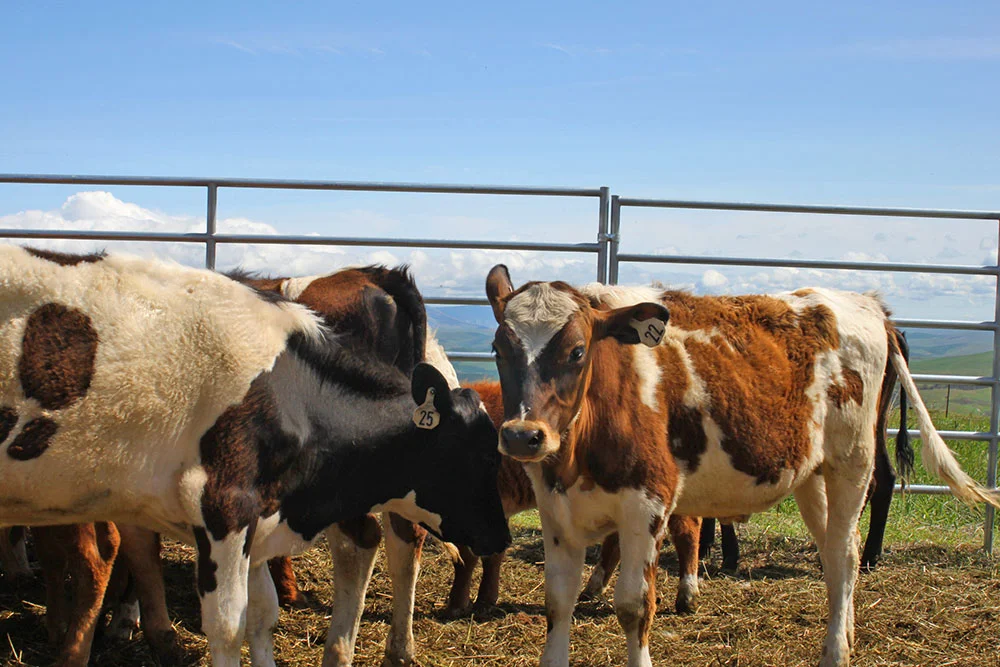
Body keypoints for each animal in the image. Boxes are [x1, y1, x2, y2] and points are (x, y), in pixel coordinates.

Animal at [0, 246, 510, 667]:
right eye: (485, 458)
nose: (501, 537)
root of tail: (377, 273)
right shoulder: (237, 513)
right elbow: (249, 618)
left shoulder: (223, 507)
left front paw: (129, 623)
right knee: (394, 543)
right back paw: (393, 650)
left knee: (370, 542)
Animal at [484, 264, 999, 667]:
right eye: (498, 350)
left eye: (576, 351)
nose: (523, 435)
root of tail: (869, 305)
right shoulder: (557, 512)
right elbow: (558, 603)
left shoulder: (647, 505)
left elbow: (634, 606)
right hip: (812, 474)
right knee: (837, 551)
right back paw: (847, 631)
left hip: (853, 459)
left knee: (845, 552)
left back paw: (836, 650)